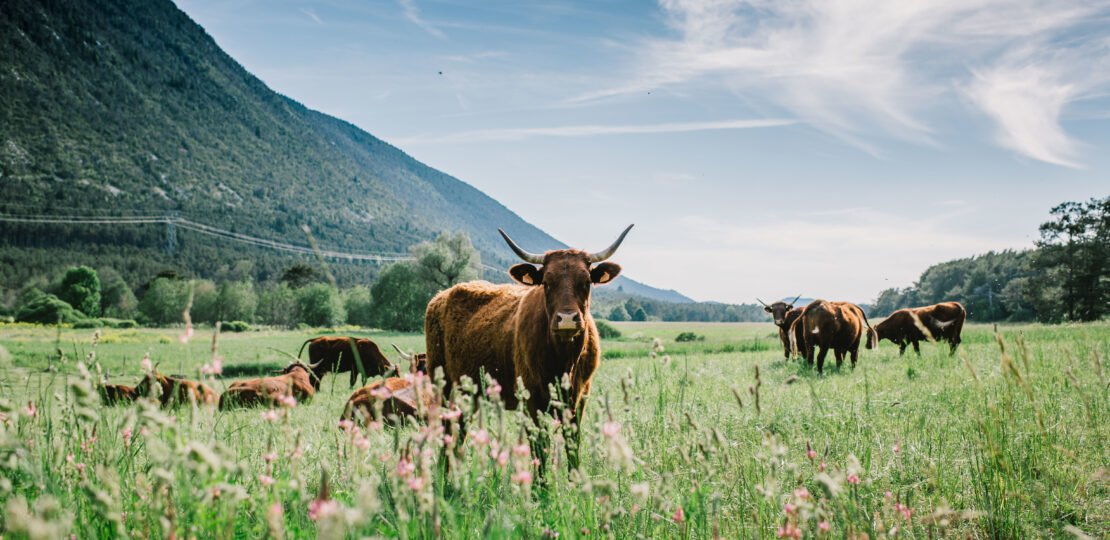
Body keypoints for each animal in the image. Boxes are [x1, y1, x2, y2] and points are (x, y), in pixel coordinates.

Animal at [424, 223, 634, 468]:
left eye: (586, 282)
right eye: (546, 283)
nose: (567, 319)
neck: (564, 361)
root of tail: (441, 296)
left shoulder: (579, 400)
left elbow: (573, 447)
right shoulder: (532, 400)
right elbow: (540, 451)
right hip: (443, 387)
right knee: (447, 431)